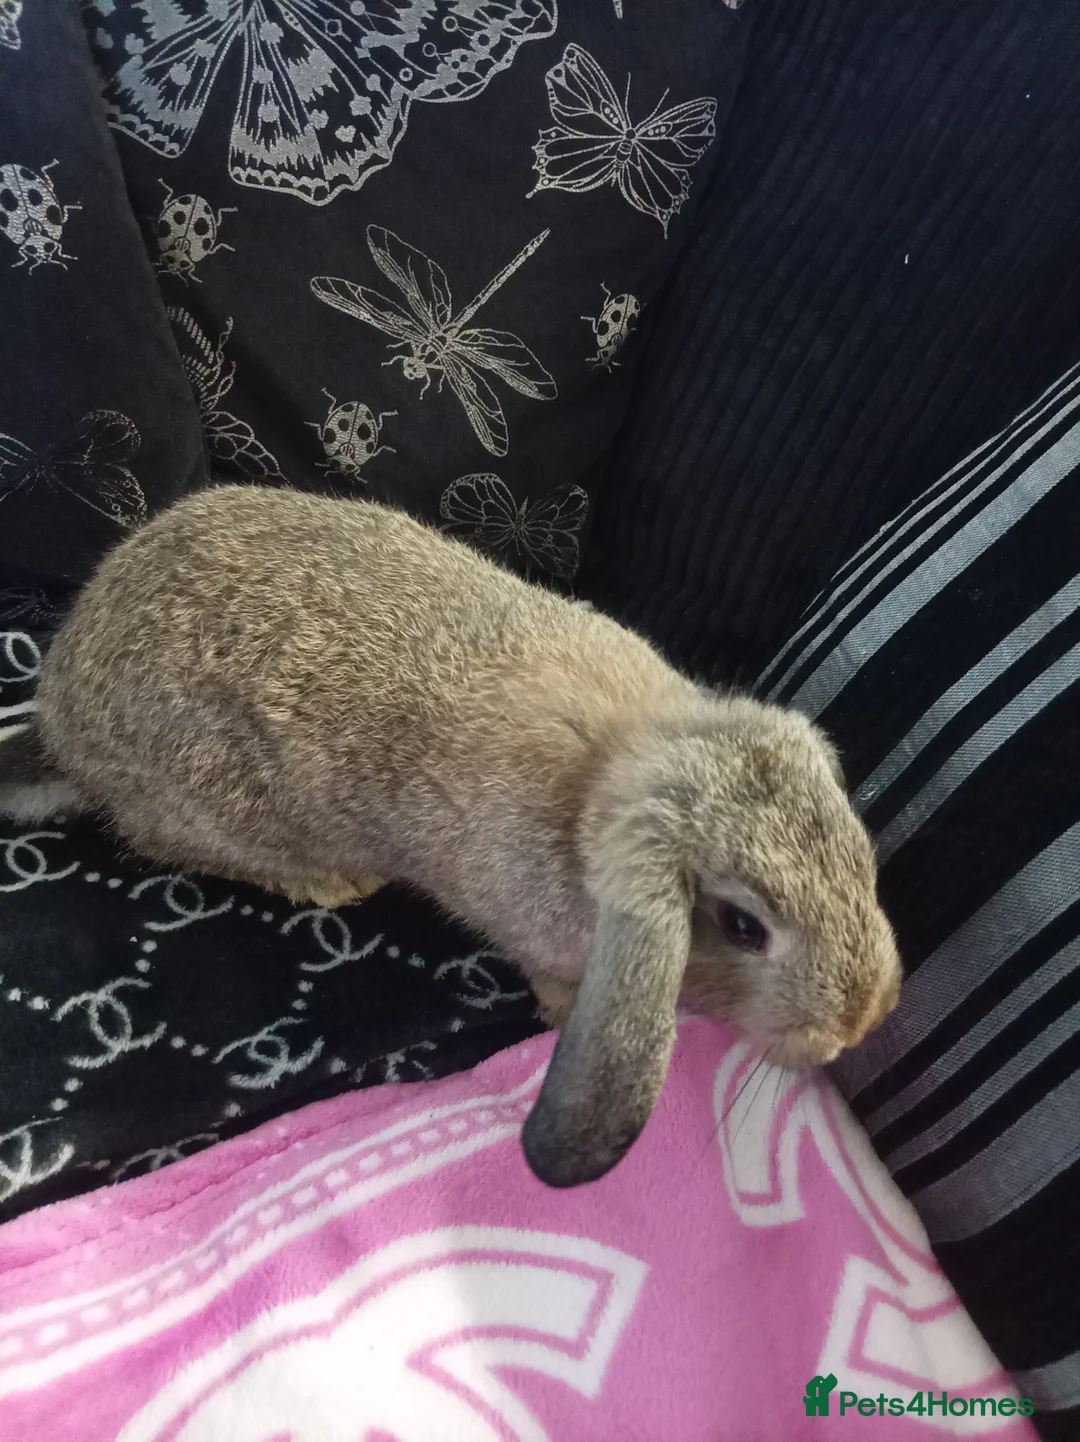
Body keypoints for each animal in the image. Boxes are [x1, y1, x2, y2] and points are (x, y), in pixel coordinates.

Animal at [0, 484, 901, 1188]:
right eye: (745, 926)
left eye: (861, 856)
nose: (864, 1018)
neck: (611, 772)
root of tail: (61, 729)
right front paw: (560, 1011)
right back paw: (328, 882)